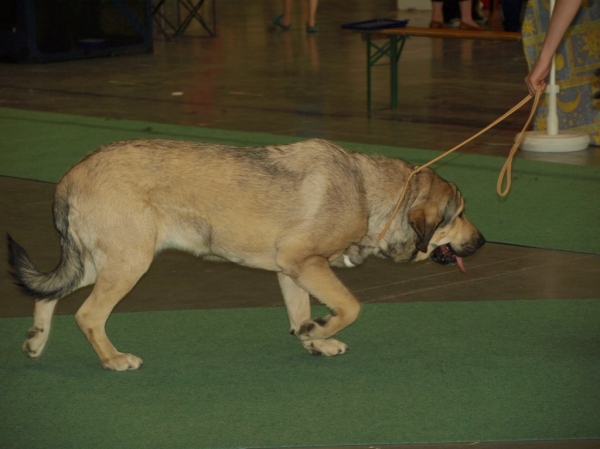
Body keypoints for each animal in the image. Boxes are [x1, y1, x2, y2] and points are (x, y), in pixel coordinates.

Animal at [5, 138, 482, 370]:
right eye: (457, 214)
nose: (481, 242)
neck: (370, 196)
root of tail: (70, 176)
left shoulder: (292, 271)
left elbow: (299, 314)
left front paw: (313, 339)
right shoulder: (306, 263)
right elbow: (350, 306)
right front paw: (321, 330)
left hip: (99, 262)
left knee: (47, 294)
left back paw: (35, 343)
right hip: (128, 264)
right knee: (88, 316)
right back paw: (113, 360)